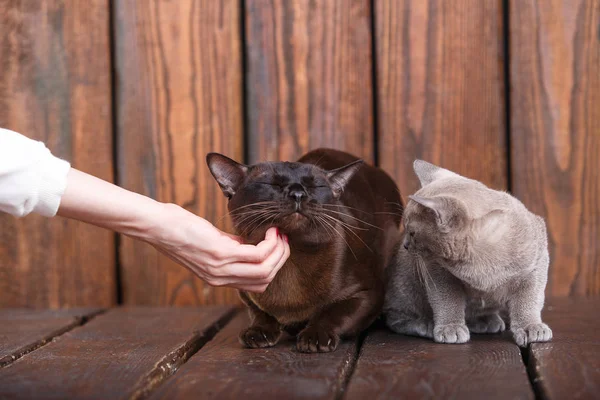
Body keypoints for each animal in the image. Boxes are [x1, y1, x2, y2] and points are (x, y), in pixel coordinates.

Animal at [207, 148, 404, 352]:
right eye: (272, 184)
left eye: (316, 186)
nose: (298, 194)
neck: (292, 258)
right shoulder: (246, 293)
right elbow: (260, 313)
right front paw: (258, 333)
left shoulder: (368, 294)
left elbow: (333, 314)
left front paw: (315, 337)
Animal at [384, 159, 552, 346]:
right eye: (406, 229)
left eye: (412, 233)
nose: (406, 245)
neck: (481, 263)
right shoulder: (437, 271)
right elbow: (448, 301)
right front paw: (450, 328)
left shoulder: (536, 266)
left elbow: (528, 302)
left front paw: (531, 327)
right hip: (406, 284)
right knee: (395, 316)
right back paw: (425, 325)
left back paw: (486, 321)